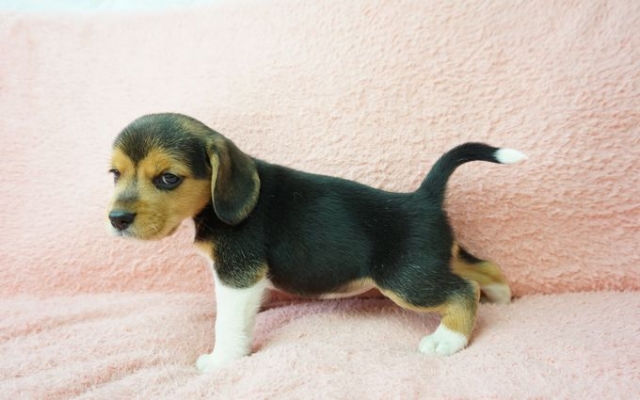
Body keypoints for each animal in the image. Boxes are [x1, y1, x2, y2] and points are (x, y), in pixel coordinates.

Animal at [107, 113, 525, 372]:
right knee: (483, 268)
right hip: (432, 260)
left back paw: (447, 340)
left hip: (406, 279)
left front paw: (222, 360)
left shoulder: (237, 275)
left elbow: (227, 323)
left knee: (463, 290)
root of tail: (422, 197)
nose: (117, 219)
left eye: (168, 178)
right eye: (114, 174)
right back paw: (502, 298)